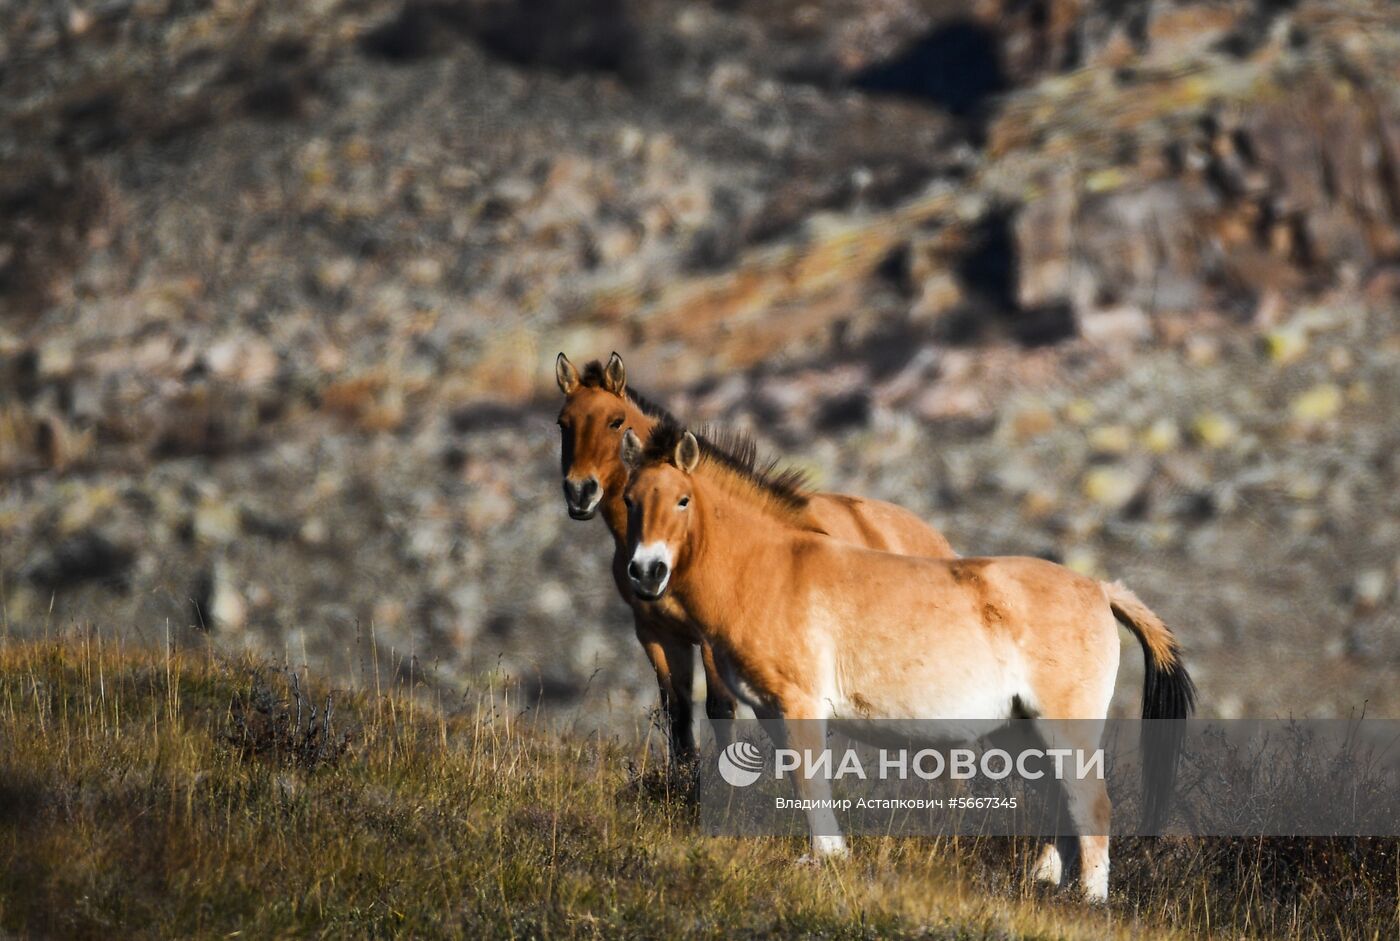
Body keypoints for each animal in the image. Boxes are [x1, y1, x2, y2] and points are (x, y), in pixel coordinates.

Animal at [551, 352, 957, 761]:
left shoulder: (712, 639)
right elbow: (677, 712)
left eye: (615, 421)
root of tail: (937, 540)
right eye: (562, 423)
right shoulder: (656, 634)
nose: (581, 492)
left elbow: (720, 709)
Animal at [621, 422, 1192, 901]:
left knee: (1091, 805)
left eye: (682, 499)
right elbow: (799, 783)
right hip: (1023, 730)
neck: (772, 567)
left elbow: (810, 782)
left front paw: (828, 859)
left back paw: (1090, 900)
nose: (647, 572)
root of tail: (1098, 588)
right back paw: (1044, 883)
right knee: (1060, 802)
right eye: (629, 500)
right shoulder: (770, 710)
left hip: (1064, 725)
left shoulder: (799, 704)